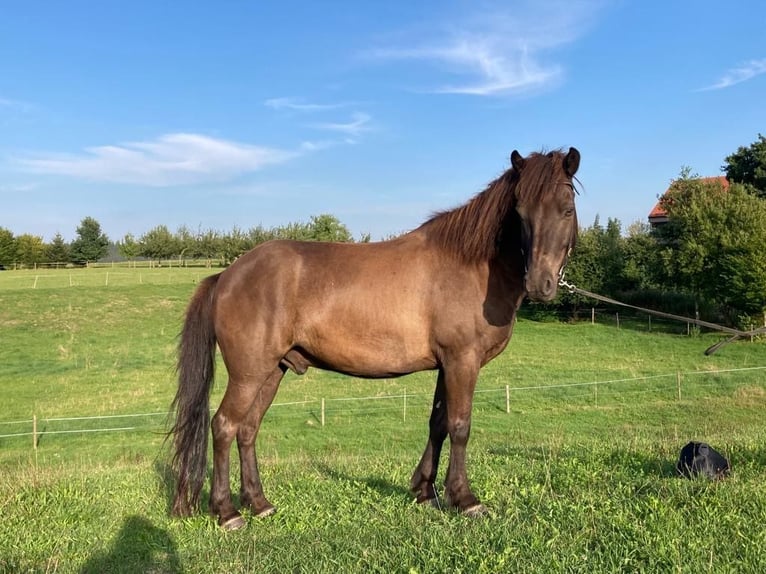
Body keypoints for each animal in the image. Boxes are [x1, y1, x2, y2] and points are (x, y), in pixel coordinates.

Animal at [171, 148, 584, 532]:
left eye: (566, 209)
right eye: (520, 212)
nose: (541, 284)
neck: (471, 265)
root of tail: (228, 275)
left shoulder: (446, 365)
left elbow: (438, 423)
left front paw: (424, 491)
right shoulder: (462, 361)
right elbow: (460, 426)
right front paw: (464, 499)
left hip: (273, 370)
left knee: (248, 429)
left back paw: (259, 503)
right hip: (248, 374)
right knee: (224, 425)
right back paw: (227, 513)